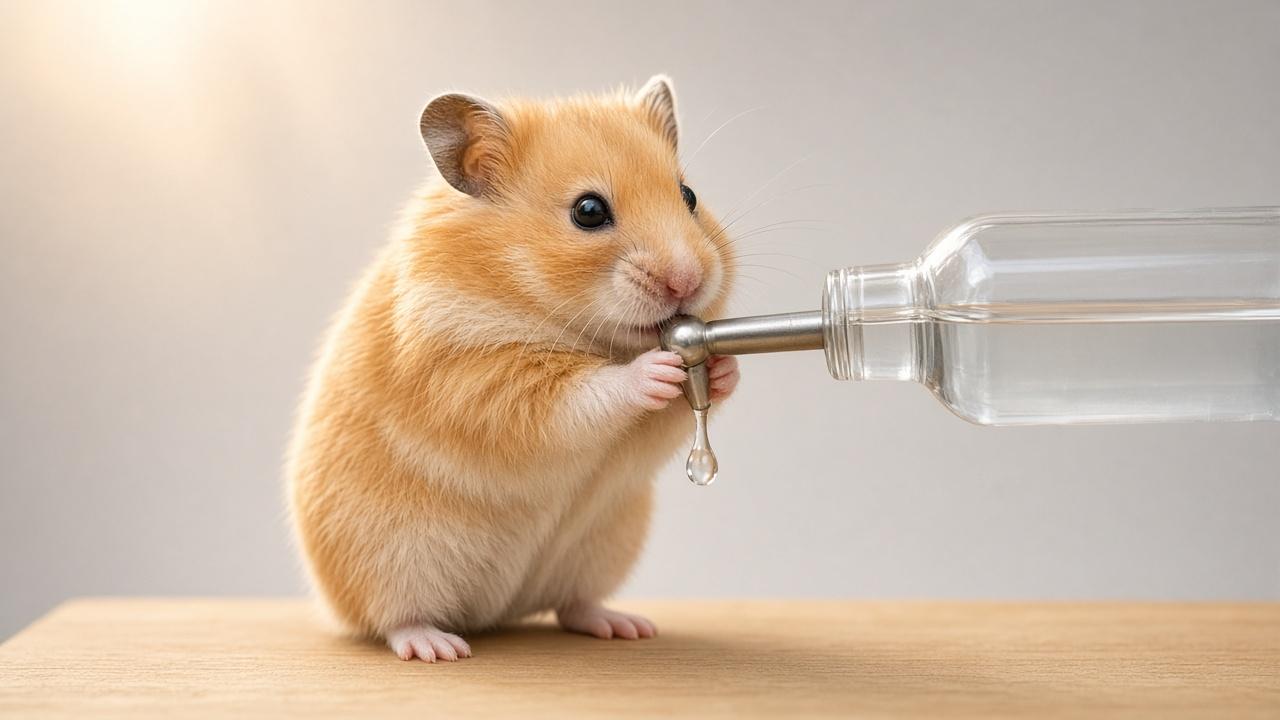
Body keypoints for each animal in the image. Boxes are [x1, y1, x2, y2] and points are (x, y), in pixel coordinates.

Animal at [286, 76, 739, 662]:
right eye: (588, 211)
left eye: (689, 197)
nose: (688, 280)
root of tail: (493, 612)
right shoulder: (471, 378)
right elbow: (580, 396)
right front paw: (655, 369)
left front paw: (726, 368)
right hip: (384, 560)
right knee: (394, 619)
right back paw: (439, 647)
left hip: (603, 547)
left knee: (572, 605)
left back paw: (626, 625)